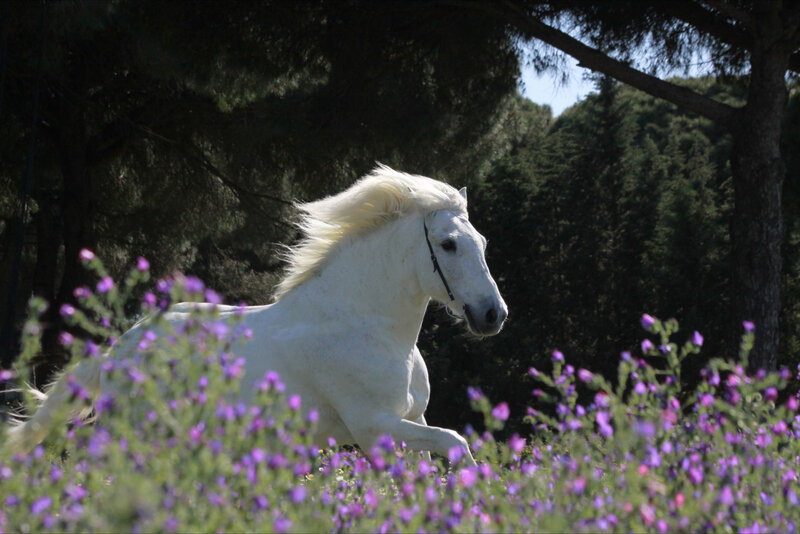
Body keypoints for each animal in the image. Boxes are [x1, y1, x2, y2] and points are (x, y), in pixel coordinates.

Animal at [4, 165, 508, 465]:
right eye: (448, 244)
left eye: (483, 241)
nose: (493, 315)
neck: (373, 330)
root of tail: (120, 349)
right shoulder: (374, 428)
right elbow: (458, 443)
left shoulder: (411, 422)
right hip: (134, 433)